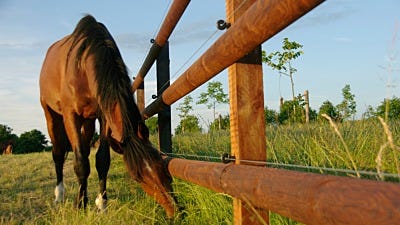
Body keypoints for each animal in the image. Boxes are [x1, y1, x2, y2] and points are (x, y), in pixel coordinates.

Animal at [39, 14, 177, 217]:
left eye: (161, 167)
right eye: (138, 178)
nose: (176, 211)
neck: (82, 66)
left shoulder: (103, 116)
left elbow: (101, 160)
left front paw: (101, 204)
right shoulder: (70, 115)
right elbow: (80, 162)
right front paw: (79, 205)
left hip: (88, 121)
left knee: (85, 151)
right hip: (51, 114)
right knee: (58, 154)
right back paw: (59, 196)